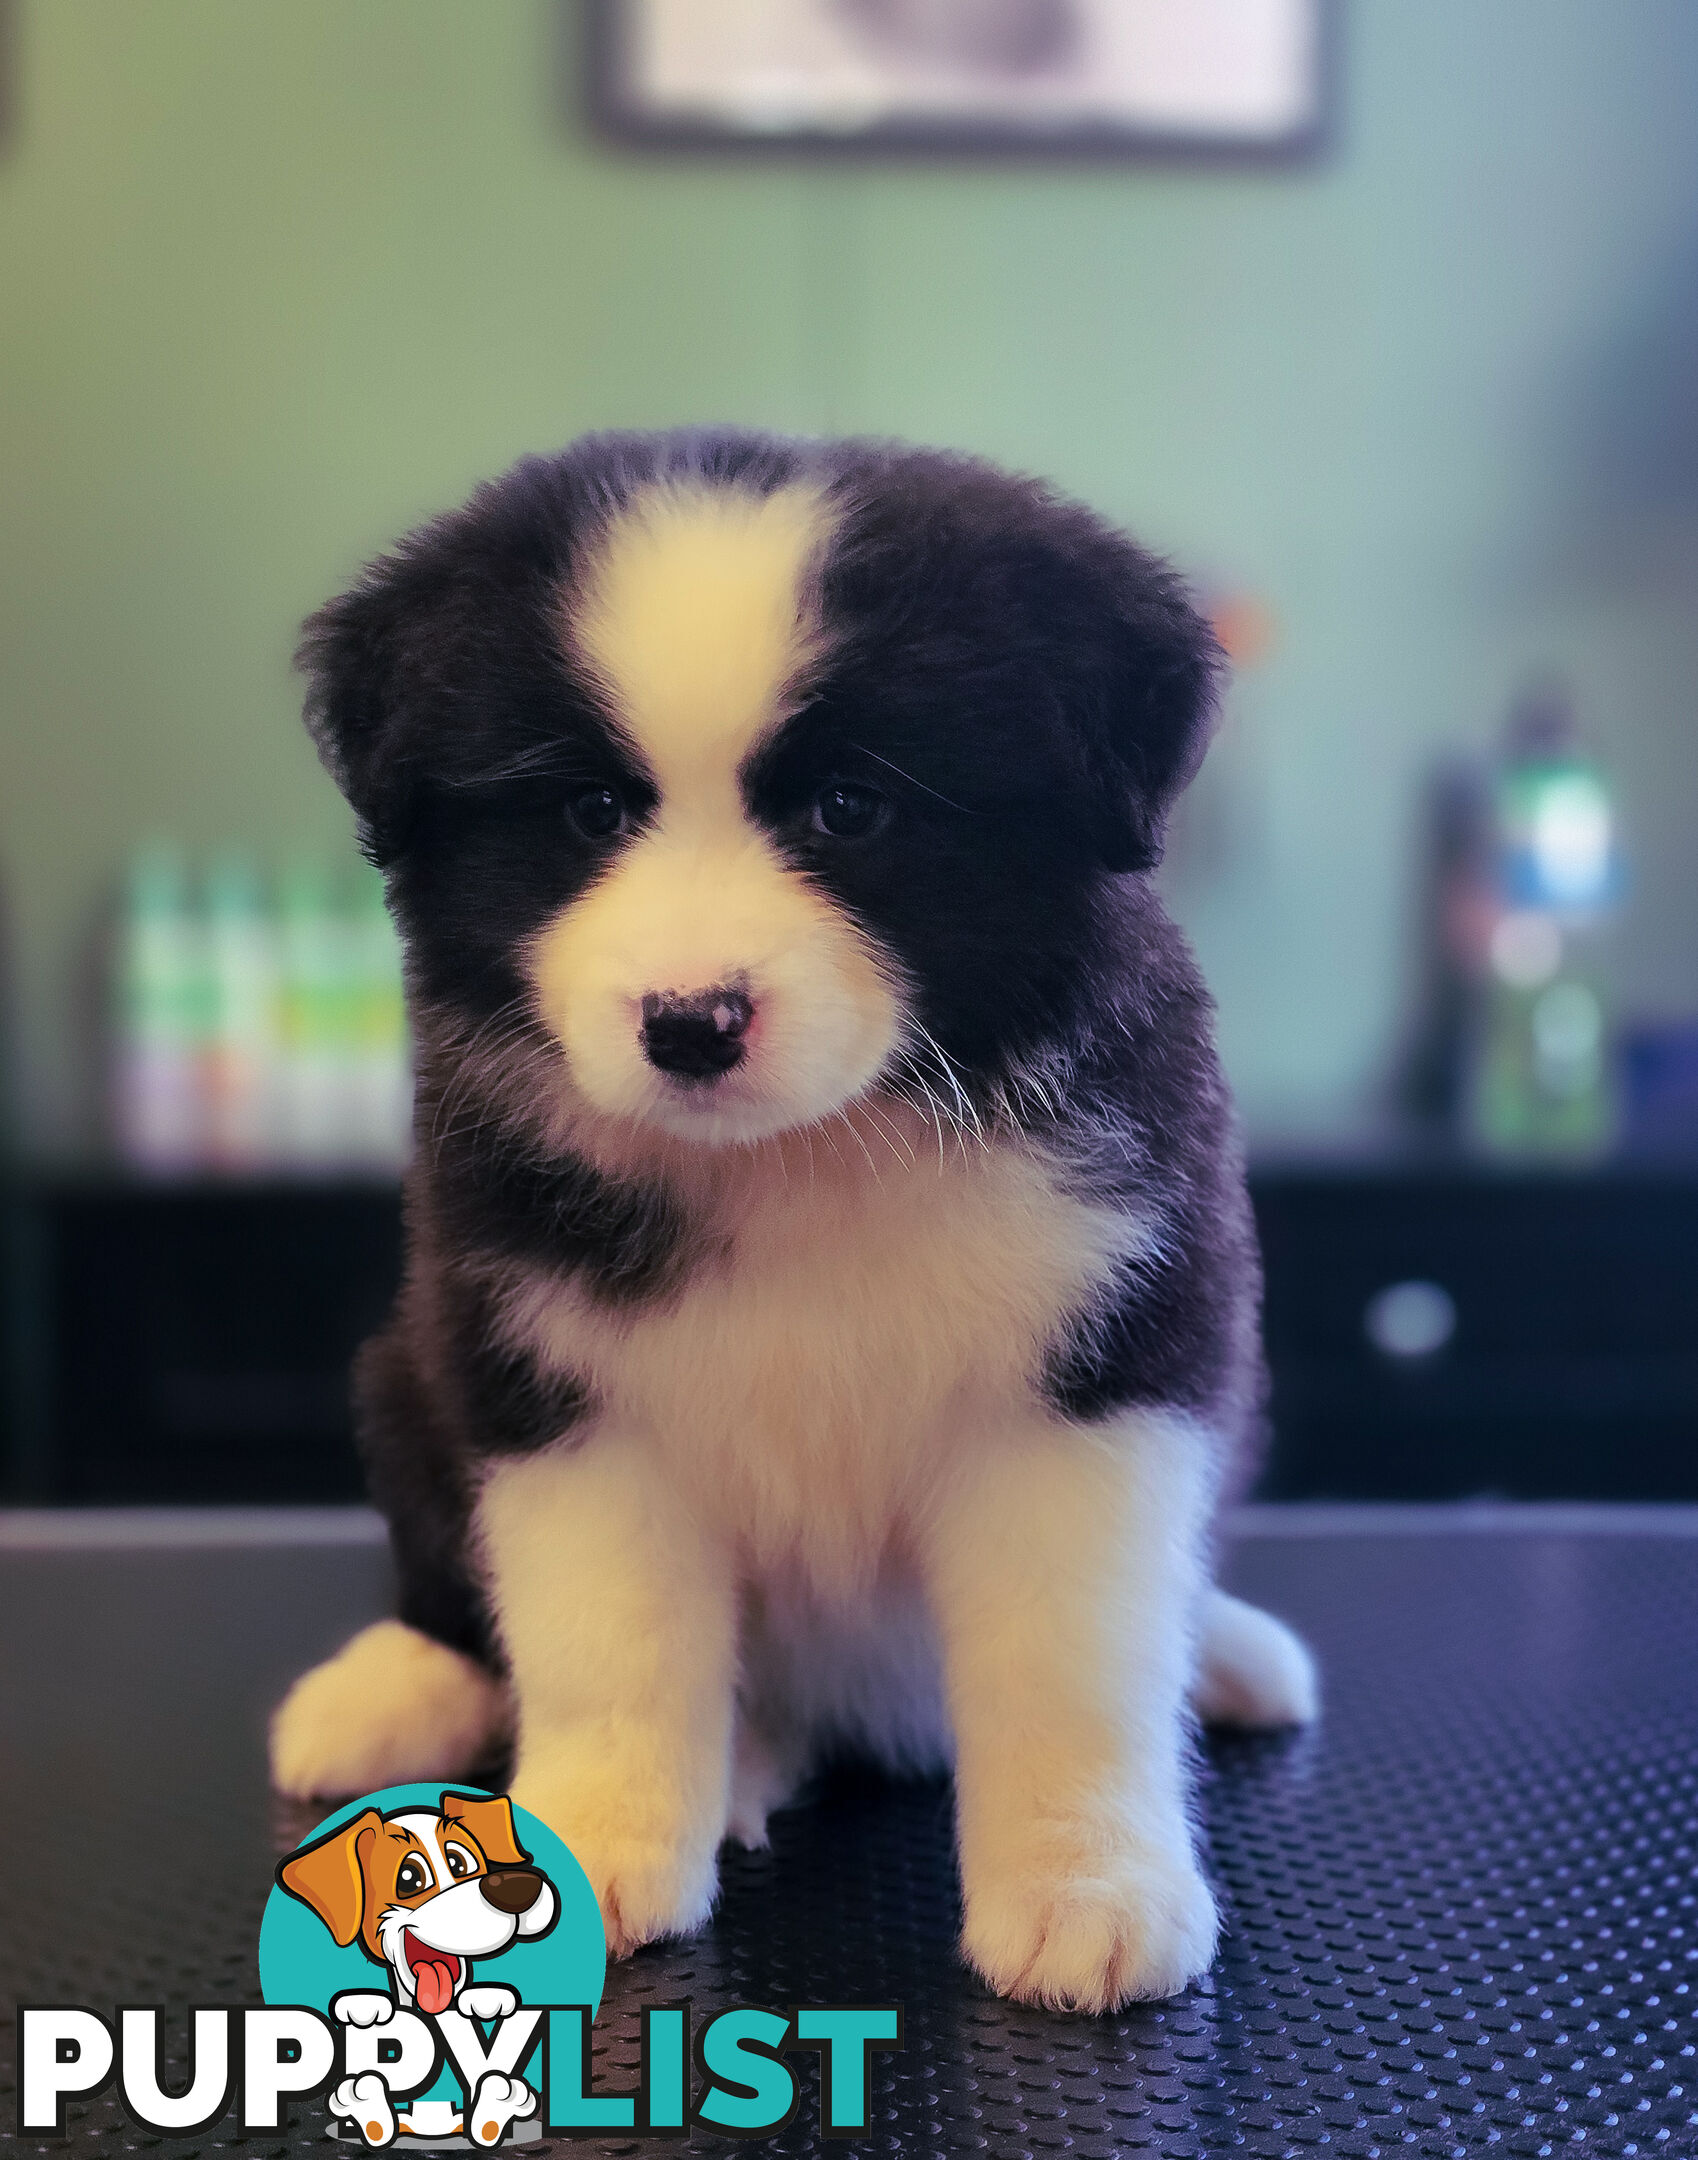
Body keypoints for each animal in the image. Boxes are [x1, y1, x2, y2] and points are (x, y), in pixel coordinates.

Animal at [271, 429, 1313, 2013]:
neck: (808, 1158)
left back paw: (1228, 1654)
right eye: (590, 812)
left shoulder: (1106, 1359)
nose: (690, 1023)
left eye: (851, 809)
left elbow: (1073, 1660)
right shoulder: (555, 1378)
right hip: (405, 1370)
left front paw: (1088, 1885)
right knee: (455, 1585)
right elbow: (610, 1647)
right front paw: (580, 1853)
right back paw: (405, 1692)